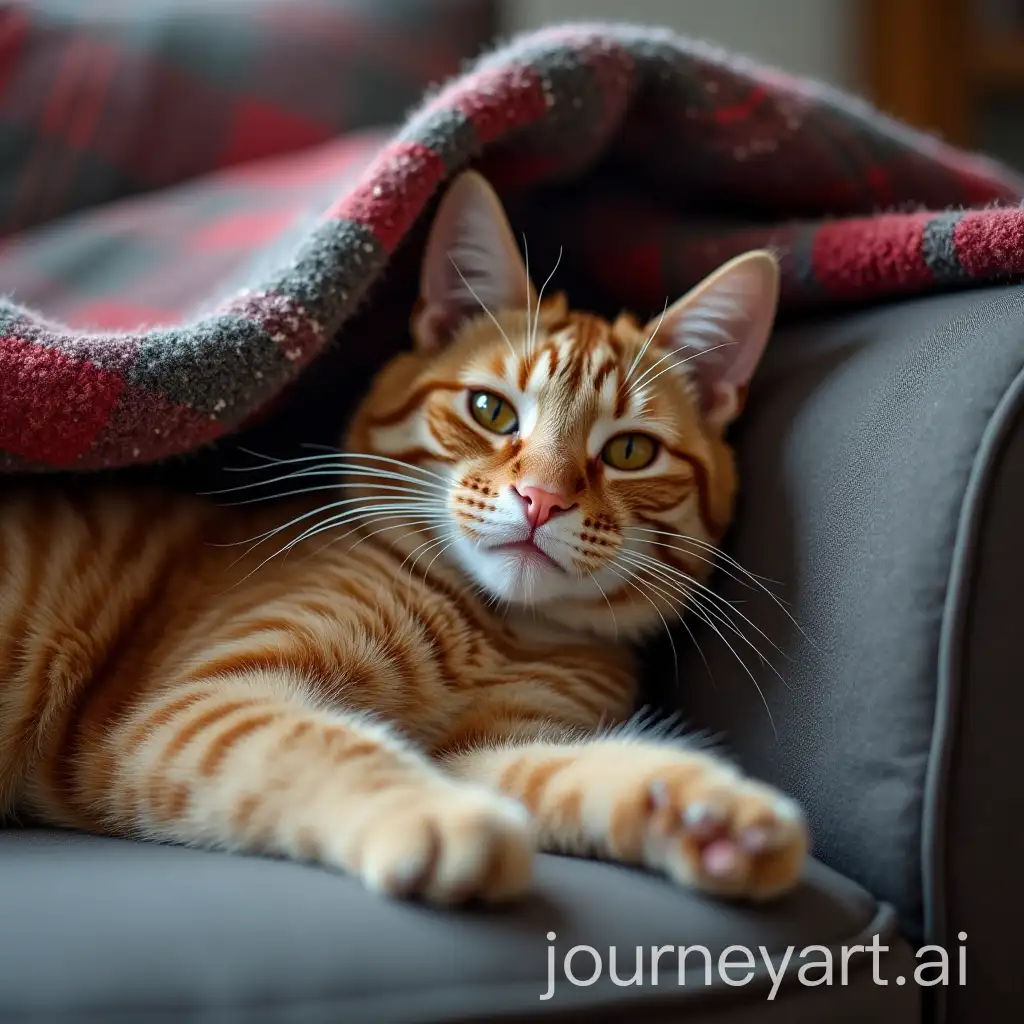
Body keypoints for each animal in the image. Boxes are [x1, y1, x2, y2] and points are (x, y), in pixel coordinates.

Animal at [0, 172, 806, 909]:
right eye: (490, 410)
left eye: (631, 452)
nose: (542, 498)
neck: (494, 628)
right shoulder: (194, 701)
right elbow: (325, 742)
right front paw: (436, 817)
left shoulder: (487, 748)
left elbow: (565, 770)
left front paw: (709, 816)